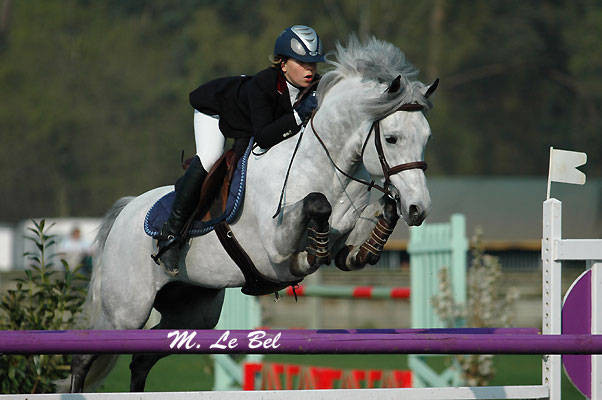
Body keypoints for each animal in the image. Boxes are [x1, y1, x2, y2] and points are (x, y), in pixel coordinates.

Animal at [69, 36, 436, 392]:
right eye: (392, 138)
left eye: (426, 137)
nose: (418, 209)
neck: (328, 167)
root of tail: (127, 210)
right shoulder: (274, 246)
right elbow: (316, 206)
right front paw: (310, 253)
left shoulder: (346, 240)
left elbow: (359, 244)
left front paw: (382, 221)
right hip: (125, 311)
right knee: (84, 356)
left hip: (192, 312)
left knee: (142, 359)